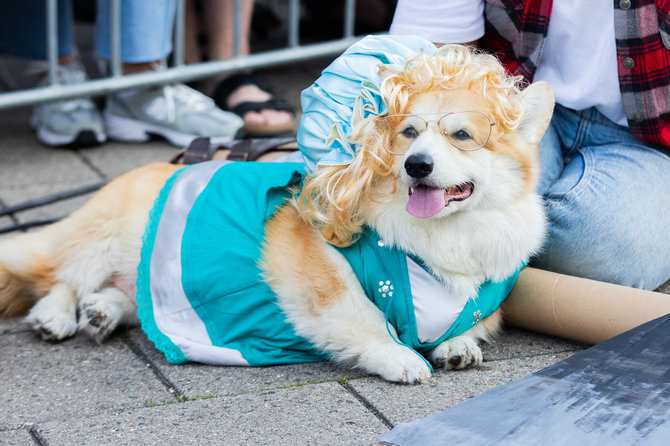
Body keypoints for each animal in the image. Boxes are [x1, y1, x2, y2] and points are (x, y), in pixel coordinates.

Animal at [0, 46, 552, 386]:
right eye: (409, 134)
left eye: (462, 135)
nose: (416, 166)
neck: (446, 236)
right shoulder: (321, 280)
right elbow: (367, 320)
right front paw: (402, 358)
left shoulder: (478, 298)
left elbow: (467, 324)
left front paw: (456, 345)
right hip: (106, 237)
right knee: (59, 275)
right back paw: (55, 316)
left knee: (126, 295)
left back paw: (102, 310)